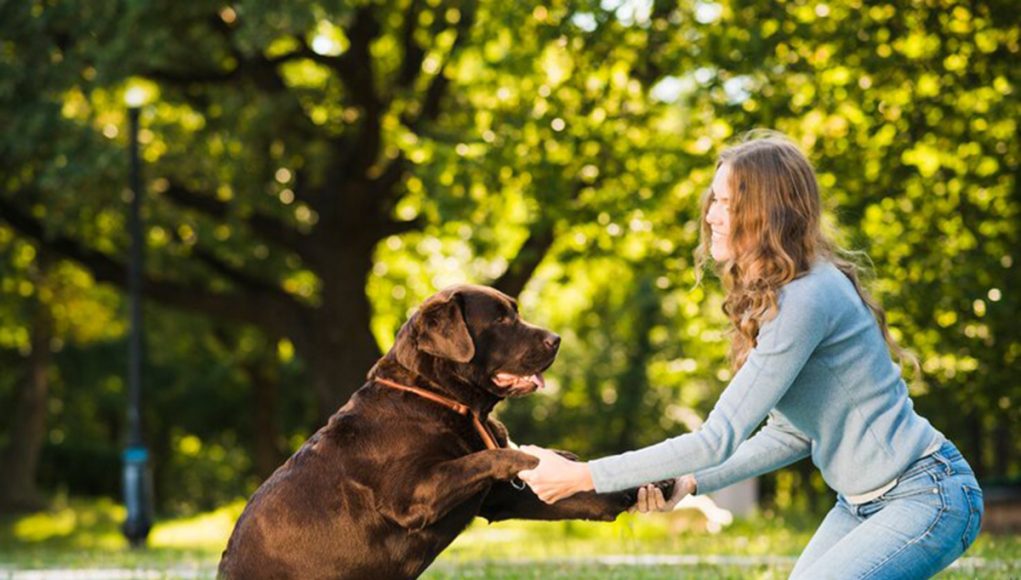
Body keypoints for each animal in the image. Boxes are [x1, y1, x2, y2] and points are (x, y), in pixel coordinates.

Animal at [219, 283, 673, 575]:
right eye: (501, 319)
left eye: (517, 312)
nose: (556, 339)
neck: (441, 398)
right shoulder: (411, 495)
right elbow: (490, 455)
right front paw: (540, 458)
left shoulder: (505, 499)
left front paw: (654, 483)